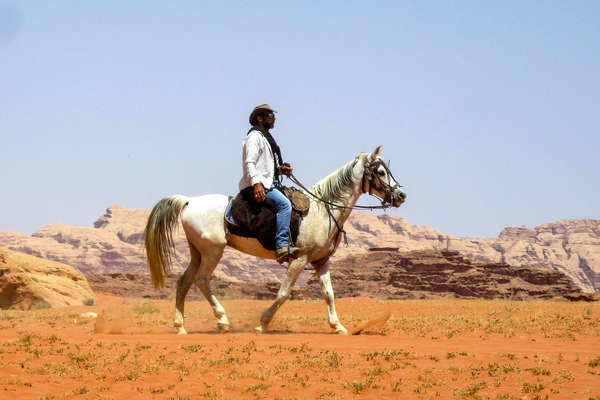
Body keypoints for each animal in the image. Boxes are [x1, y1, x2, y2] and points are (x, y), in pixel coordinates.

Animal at [145, 147, 406, 334]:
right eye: (380, 172)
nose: (401, 195)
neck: (323, 209)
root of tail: (189, 201)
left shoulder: (321, 261)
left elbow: (329, 294)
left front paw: (338, 326)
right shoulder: (299, 259)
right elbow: (283, 293)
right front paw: (262, 323)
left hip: (197, 251)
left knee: (184, 282)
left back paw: (180, 326)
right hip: (213, 252)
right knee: (201, 280)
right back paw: (222, 320)